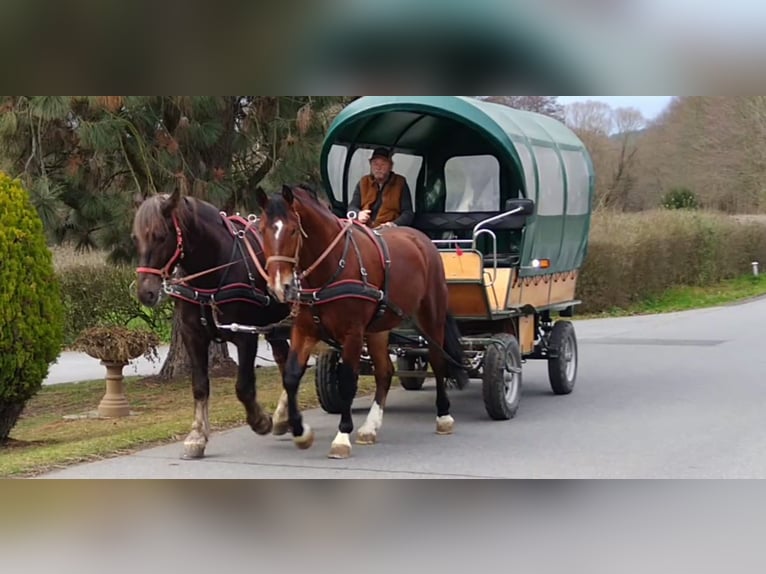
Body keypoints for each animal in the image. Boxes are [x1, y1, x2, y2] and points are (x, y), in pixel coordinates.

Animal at [134, 187, 296, 462]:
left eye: (160, 236)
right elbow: (200, 386)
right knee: (285, 360)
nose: (146, 292)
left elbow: (243, 386)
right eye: (136, 237)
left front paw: (260, 420)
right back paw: (284, 415)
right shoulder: (193, 336)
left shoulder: (245, 335)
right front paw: (197, 435)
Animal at [255, 187, 468, 462]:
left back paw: (443, 416)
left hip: (431, 316)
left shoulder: (353, 334)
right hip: (379, 328)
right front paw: (300, 432)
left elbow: (348, 379)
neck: (332, 267)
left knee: (437, 360)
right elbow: (291, 376)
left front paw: (342, 436)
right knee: (385, 371)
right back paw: (370, 427)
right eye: (262, 230)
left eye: (292, 230)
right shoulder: (304, 330)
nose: (280, 286)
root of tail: (422, 240)